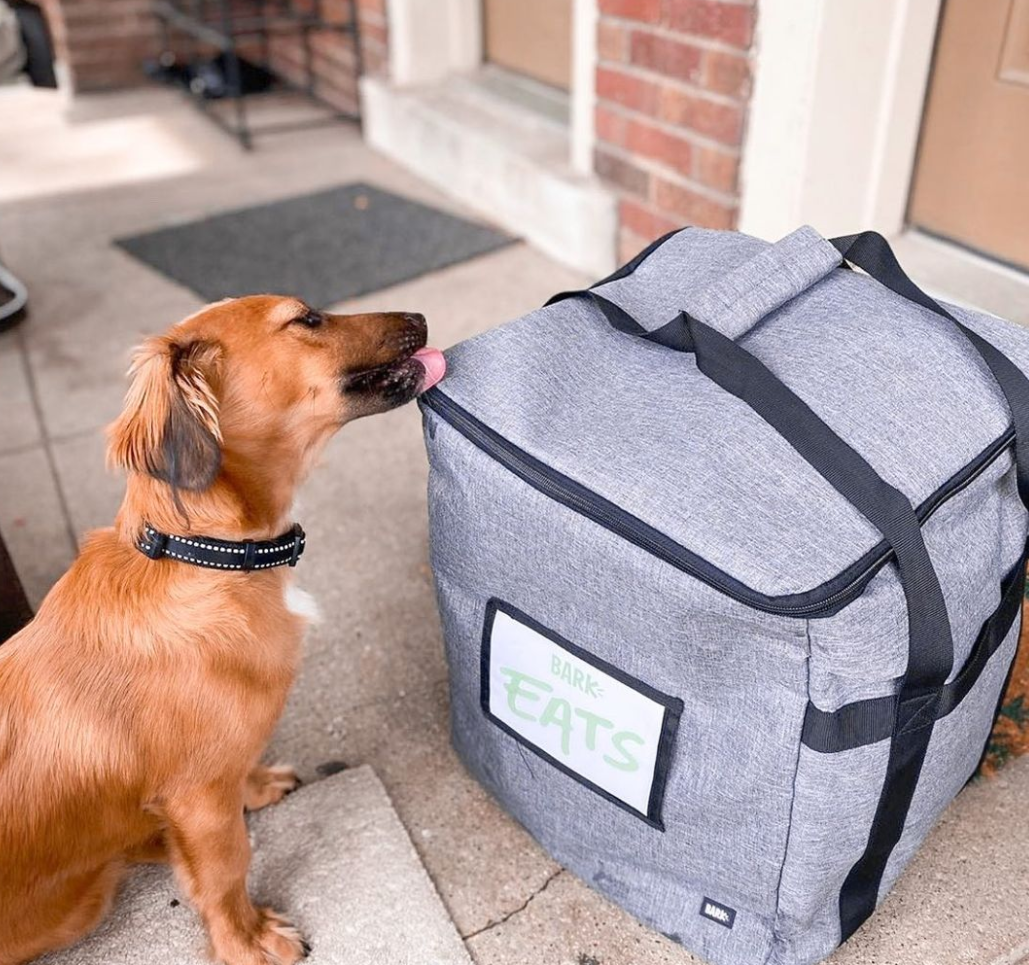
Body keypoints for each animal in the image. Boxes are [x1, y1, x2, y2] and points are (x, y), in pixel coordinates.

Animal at [0, 294, 444, 962]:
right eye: (306, 319)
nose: (420, 316)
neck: (208, 556)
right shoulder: (200, 799)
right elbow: (226, 868)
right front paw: (248, 941)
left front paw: (255, 786)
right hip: (82, 903)